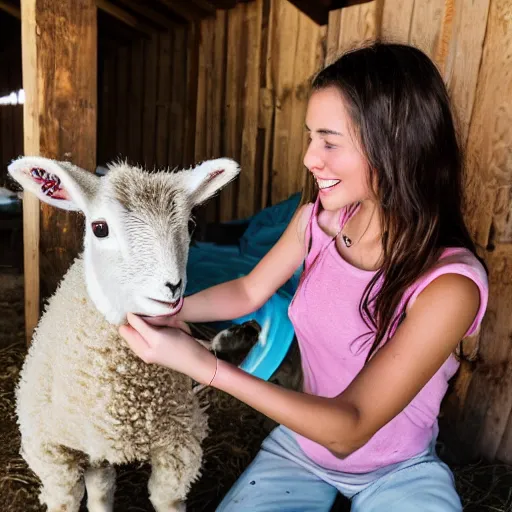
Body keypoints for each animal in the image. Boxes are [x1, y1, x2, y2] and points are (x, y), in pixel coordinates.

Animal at [8, 155, 240, 512]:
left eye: (190, 225)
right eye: (99, 228)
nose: (172, 287)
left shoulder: (181, 445)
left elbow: (166, 499)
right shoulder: (48, 450)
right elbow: (66, 499)